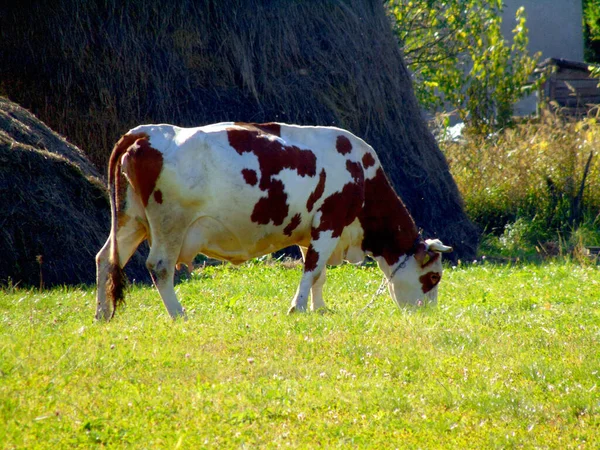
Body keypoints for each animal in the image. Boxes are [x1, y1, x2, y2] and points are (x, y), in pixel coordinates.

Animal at [95, 122, 450, 320]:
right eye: (433, 278)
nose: (429, 314)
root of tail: (146, 132)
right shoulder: (330, 221)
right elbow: (313, 270)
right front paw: (298, 309)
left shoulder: (312, 232)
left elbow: (318, 274)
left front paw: (318, 308)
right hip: (170, 223)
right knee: (159, 267)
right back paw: (179, 314)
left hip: (130, 221)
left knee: (105, 259)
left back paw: (101, 314)